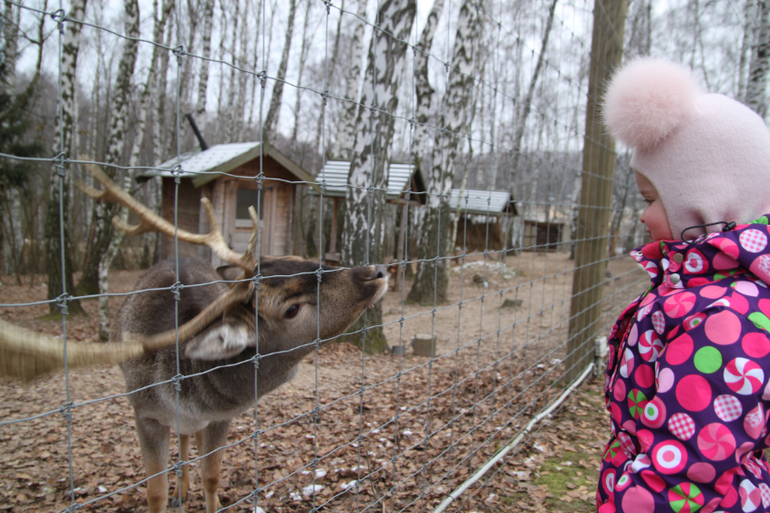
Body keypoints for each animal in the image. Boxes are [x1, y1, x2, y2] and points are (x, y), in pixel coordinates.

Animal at [0, 164, 388, 512]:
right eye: (290, 309)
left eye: (301, 258)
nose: (377, 271)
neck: (187, 395)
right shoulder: (144, 413)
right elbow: (154, 492)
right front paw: (168, 494)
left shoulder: (220, 418)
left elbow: (211, 477)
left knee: (187, 439)